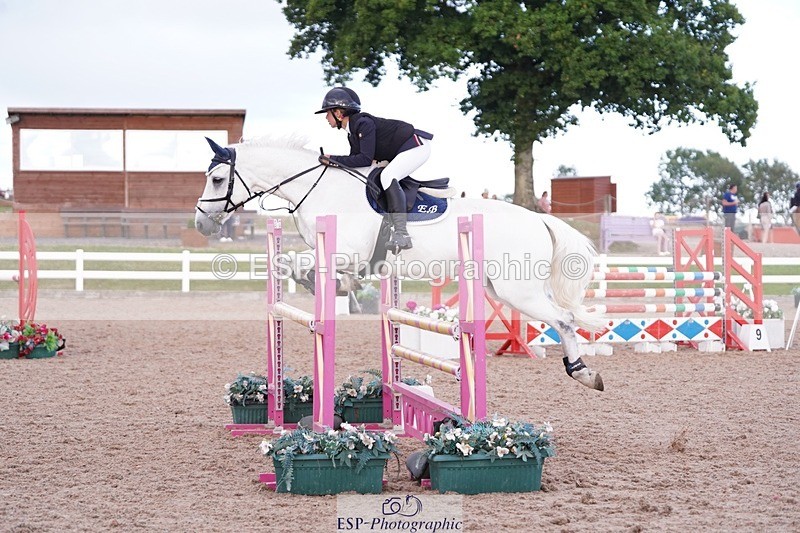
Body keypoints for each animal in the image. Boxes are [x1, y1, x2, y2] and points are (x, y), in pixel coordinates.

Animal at [195, 136, 605, 391]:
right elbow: (289, 263)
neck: (320, 189)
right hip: (498, 287)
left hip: (518, 290)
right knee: (562, 318)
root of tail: (540, 219)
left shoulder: (346, 252)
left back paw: (584, 373)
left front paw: (328, 287)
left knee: (564, 320)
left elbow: (297, 263)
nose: (201, 224)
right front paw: (334, 289)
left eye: (217, 179)